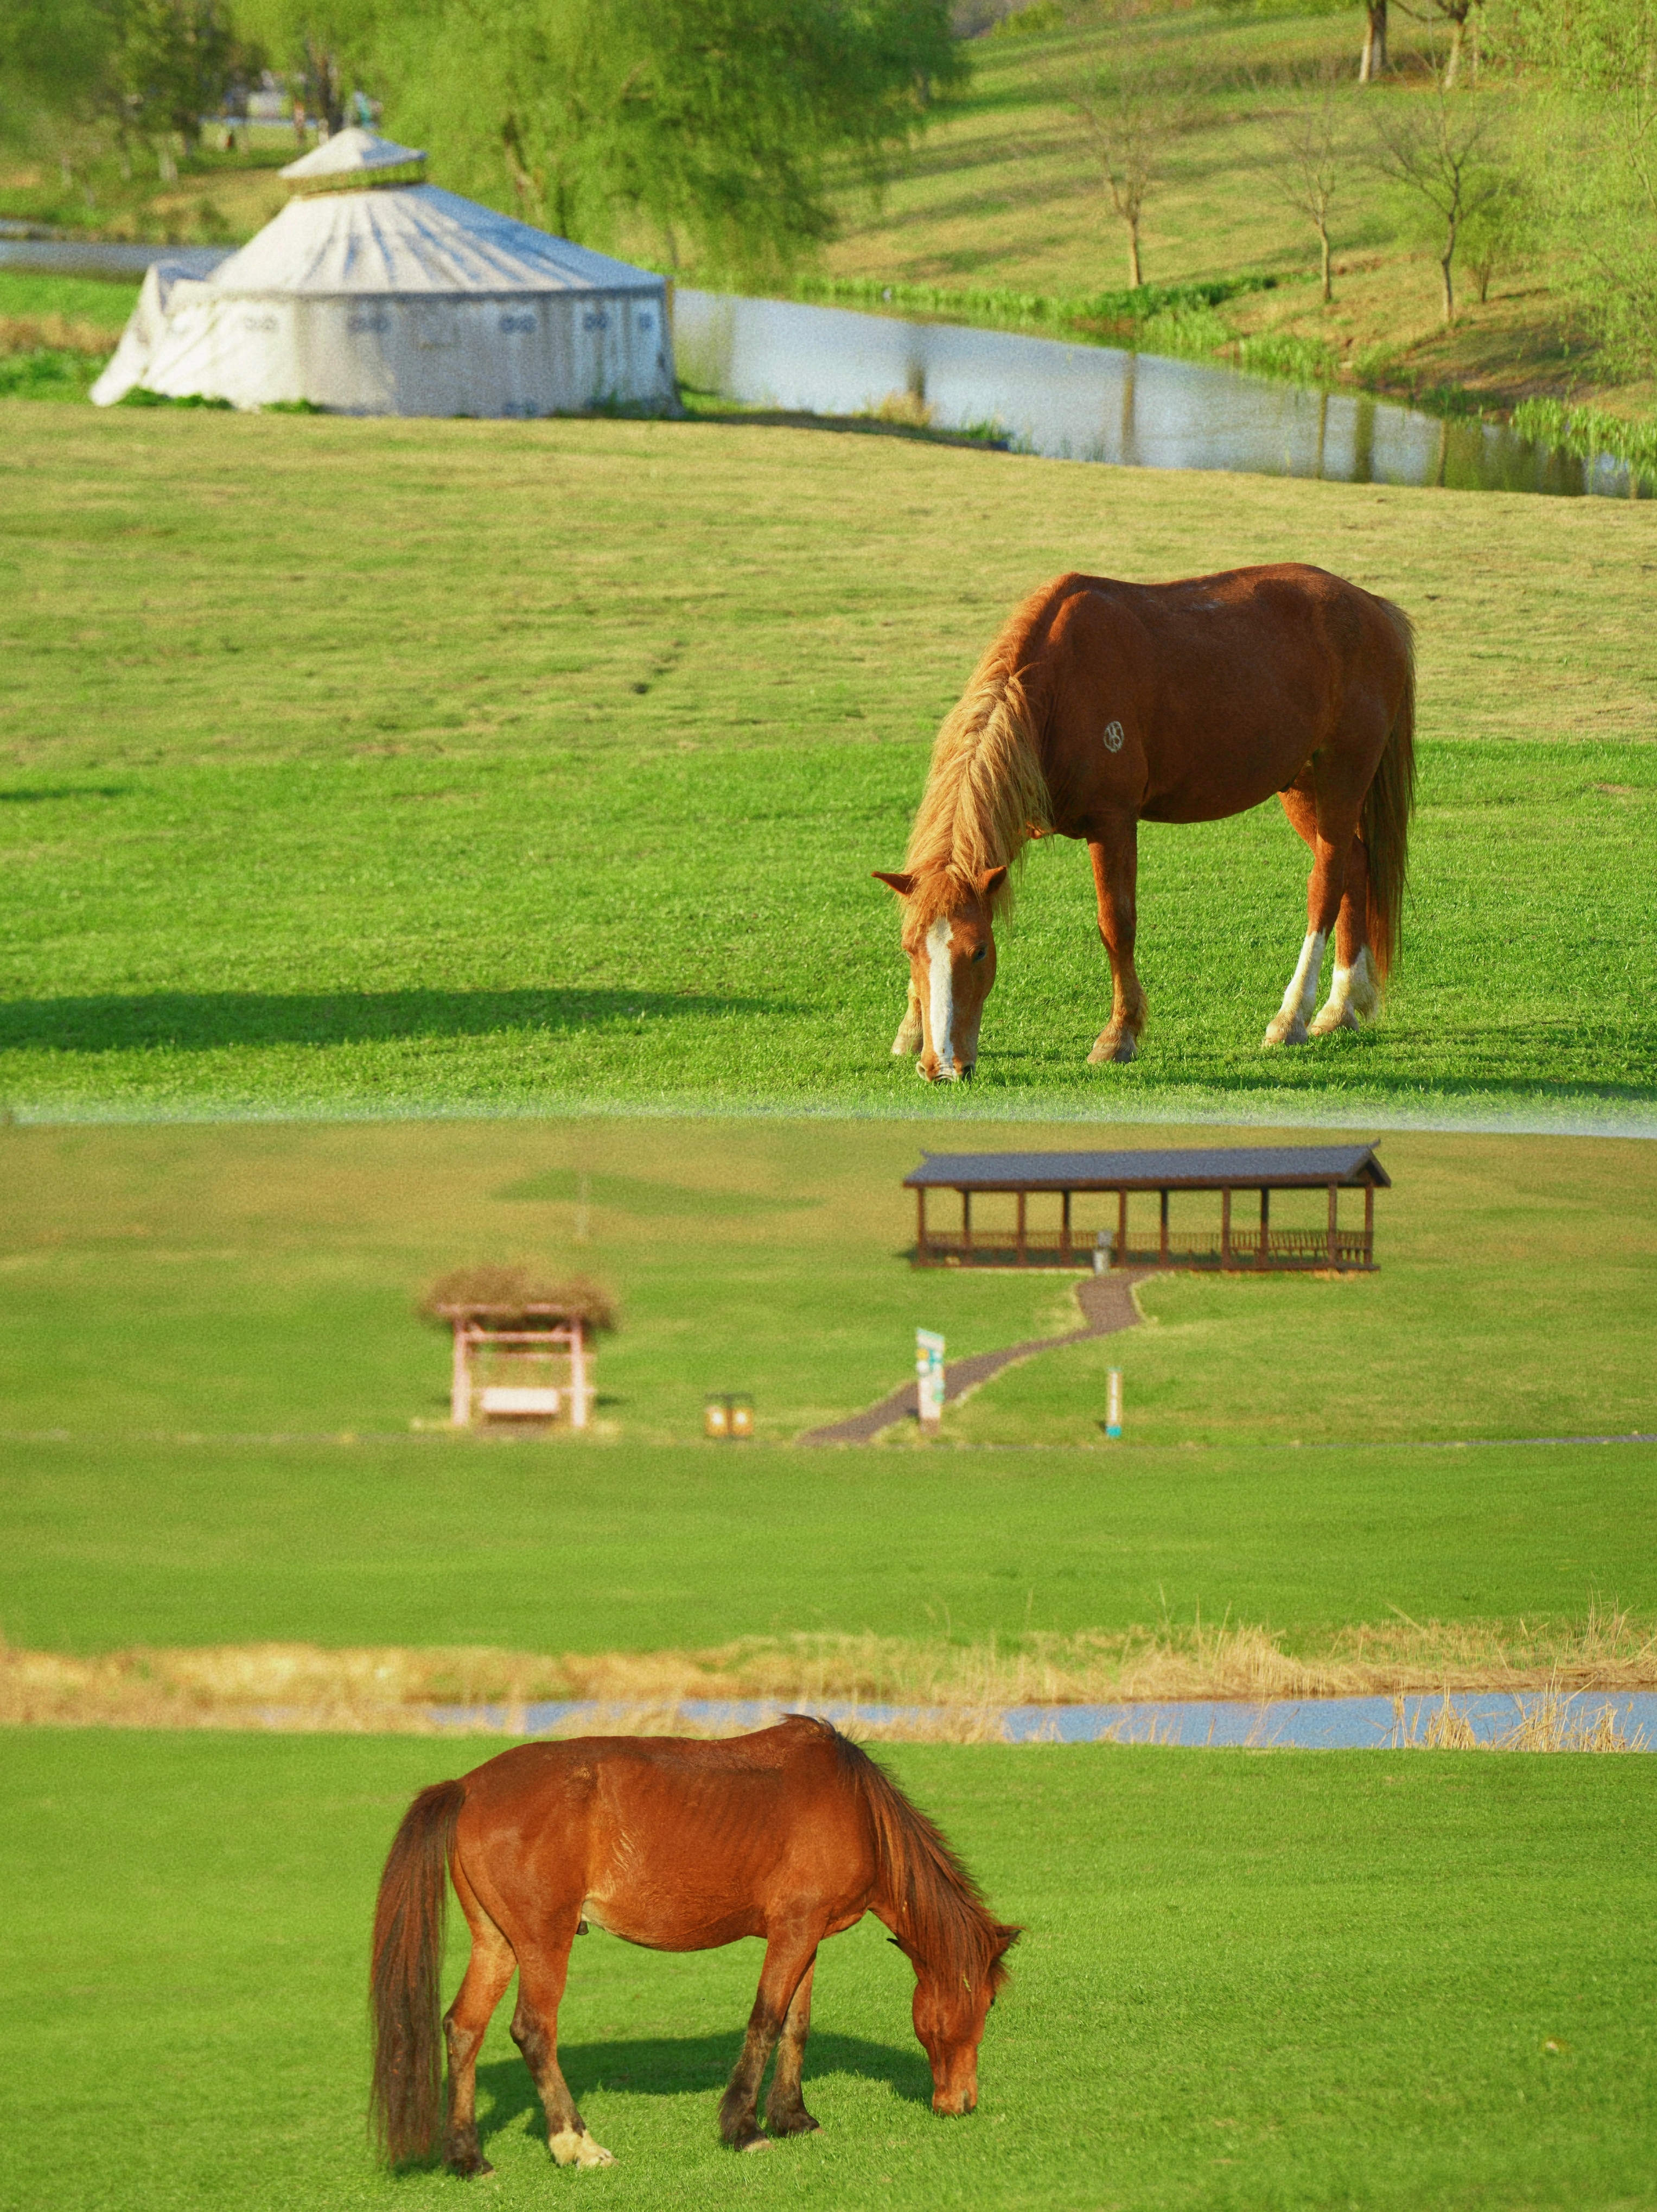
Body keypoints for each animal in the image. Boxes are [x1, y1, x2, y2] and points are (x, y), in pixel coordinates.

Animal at [372, 1716, 1022, 2167]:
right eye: (987, 2001)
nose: (962, 2103)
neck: (854, 1806)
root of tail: (467, 1787)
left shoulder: (808, 1936)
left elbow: (796, 2025)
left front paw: (793, 2116)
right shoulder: (791, 1932)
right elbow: (766, 2021)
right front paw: (745, 2128)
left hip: (498, 1942)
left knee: (463, 2029)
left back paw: (468, 2157)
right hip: (542, 1942)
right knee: (534, 2031)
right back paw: (576, 2145)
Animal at [871, 562, 1416, 1079]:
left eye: (980, 951)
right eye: (908, 950)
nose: (944, 1068)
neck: (1057, 688)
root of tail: (1373, 607)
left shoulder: (1113, 823)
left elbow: (1117, 924)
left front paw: (1119, 1035)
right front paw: (911, 1030)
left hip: (1343, 774)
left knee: (1326, 884)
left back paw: (1293, 1015)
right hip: (1302, 787)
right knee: (1355, 866)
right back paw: (1343, 1006)